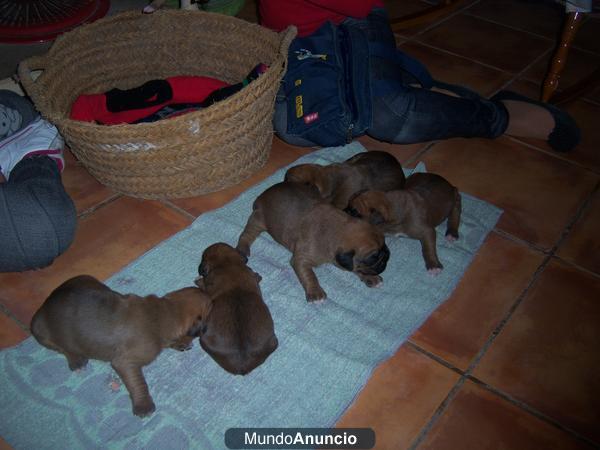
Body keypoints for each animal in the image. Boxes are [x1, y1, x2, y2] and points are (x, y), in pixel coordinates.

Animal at [31, 274, 213, 418]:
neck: (162, 312)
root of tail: (45, 304)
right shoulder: (126, 362)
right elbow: (138, 383)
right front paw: (144, 406)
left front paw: (180, 343)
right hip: (41, 332)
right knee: (62, 348)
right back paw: (76, 361)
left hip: (85, 278)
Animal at [198, 243, 280, 376]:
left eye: (203, 258)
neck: (227, 264)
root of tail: (243, 365)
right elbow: (255, 275)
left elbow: (203, 285)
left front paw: (198, 280)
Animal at [237, 180, 392, 302]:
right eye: (373, 258)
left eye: (385, 246)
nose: (387, 257)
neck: (338, 228)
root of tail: (261, 196)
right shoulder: (300, 260)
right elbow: (309, 275)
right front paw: (316, 292)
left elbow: (355, 268)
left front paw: (370, 277)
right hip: (257, 220)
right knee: (246, 235)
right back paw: (242, 249)